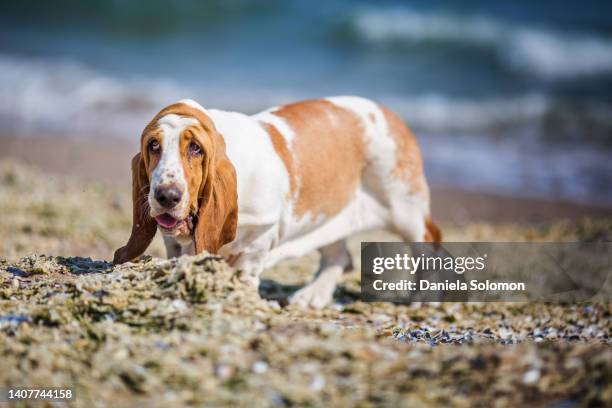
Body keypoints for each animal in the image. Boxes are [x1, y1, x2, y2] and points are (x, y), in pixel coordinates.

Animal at [113, 96, 440, 306]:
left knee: (430, 241)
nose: (166, 196)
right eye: (153, 145)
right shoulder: (175, 242)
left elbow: (247, 265)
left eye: (196, 148)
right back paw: (313, 296)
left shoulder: (263, 231)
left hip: (405, 212)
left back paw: (426, 297)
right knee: (339, 257)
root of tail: (389, 114)